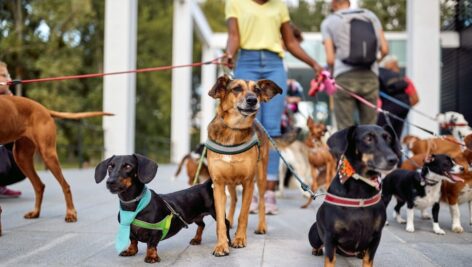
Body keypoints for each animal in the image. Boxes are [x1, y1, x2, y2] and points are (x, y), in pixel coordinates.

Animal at [94, 154, 230, 264]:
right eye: (110, 166)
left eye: (128, 166)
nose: (110, 182)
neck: (134, 205)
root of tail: (204, 185)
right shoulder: (130, 231)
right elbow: (133, 240)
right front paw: (130, 250)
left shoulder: (156, 231)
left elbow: (151, 245)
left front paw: (151, 256)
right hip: (196, 216)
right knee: (202, 225)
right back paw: (197, 239)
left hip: (216, 212)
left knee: (225, 223)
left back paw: (227, 241)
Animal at [206, 75, 280, 258]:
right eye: (237, 88)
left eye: (257, 90)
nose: (253, 100)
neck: (233, 129)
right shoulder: (218, 184)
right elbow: (220, 219)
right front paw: (221, 245)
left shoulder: (248, 183)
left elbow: (244, 215)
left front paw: (239, 239)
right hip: (230, 184)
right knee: (233, 199)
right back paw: (230, 221)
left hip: (261, 177)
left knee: (261, 201)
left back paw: (261, 226)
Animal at [308, 125, 400, 267]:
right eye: (368, 138)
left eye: (389, 138)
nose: (394, 159)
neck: (360, 190)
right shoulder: (330, 236)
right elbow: (330, 259)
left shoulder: (376, 236)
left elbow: (368, 259)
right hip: (314, 233)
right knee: (318, 244)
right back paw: (316, 250)